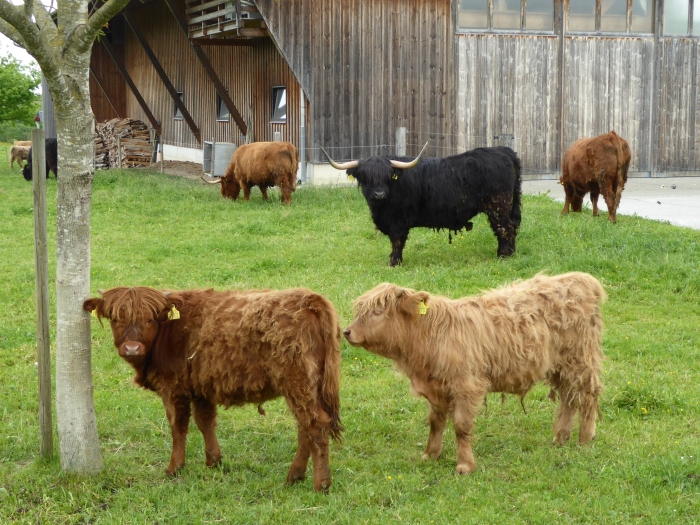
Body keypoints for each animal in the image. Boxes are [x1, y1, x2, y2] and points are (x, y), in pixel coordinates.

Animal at [83, 286, 342, 492]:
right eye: (115, 319)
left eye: (149, 319)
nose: (131, 348)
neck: (168, 332)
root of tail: (308, 298)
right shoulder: (200, 388)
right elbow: (205, 421)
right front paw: (213, 461)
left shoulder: (173, 389)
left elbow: (178, 426)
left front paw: (174, 467)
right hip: (308, 387)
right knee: (305, 427)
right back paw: (294, 476)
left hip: (298, 383)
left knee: (315, 425)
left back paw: (320, 484)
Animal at [322, 143, 522, 266]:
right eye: (365, 177)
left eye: (387, 176)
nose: (379, 194)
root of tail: (502, 151)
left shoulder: (399, 222)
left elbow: (397, 241)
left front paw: (394, 262)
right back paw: (509, 253)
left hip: (497, 206)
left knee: (505, 228)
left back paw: (504, 255)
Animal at [343, 272, 606, 475]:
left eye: (377, 312)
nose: (346, 331)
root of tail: (579, 278)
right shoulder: (436, 388)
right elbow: (435, 422)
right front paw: (430, 454)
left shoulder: (466, 386)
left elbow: (461, 426)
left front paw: (464, 465)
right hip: (560, 366)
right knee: (569, 398)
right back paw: (560, 438)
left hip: (580, 360)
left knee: (588, 395)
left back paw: (585, 439)